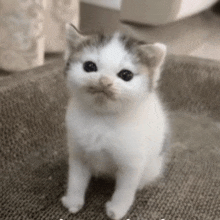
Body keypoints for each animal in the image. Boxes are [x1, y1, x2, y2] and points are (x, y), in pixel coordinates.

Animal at [61, 23, 169, 219]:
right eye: (89, 66)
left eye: (126, 75)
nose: (104, 82)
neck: (102, 118)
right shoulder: (78, 153)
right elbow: (76, 179)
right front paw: (73, 201)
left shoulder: (132, 163)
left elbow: (125, 189)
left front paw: (117, 209)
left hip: (153, 166)